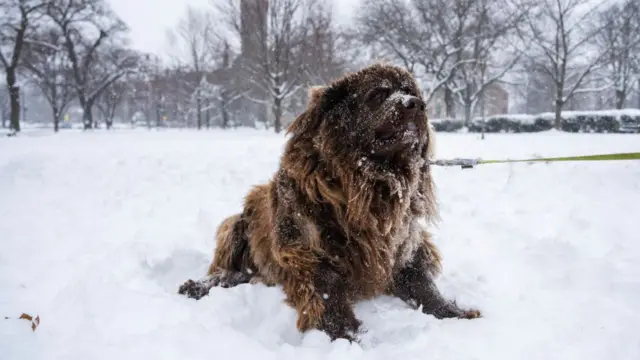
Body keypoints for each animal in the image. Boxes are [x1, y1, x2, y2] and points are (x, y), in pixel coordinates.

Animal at [179, 62, 480, 340]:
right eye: (378, 94)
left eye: (410, 92)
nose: (416, 104)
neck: (368, 184)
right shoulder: (307, 248)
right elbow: (327, 293)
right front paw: (349, 334)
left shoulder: (405, 241)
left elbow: (423, 283)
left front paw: (454, 312)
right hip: (236, 223)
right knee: (227, 271)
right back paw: (196, 286)